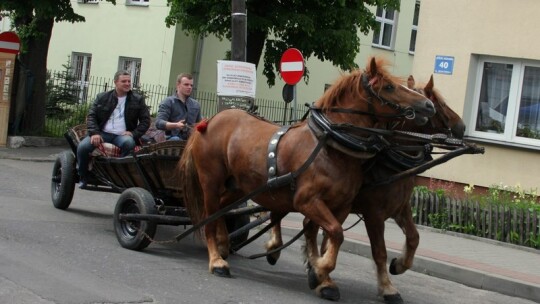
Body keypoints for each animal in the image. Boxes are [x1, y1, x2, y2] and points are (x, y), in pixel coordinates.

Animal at [179, 57, 436, 302]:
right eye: (389, 87)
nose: (428, 105)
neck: (330, 146)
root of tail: (210, 120)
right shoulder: (307, 201)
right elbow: (336, 234)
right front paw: (319, 270)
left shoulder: (341, 206)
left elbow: (330, 236)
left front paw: (323, 277)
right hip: (211, 181)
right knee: (209, 217)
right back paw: (217, 260)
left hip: (239, 186)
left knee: (222, 210)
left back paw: (225, 245)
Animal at [266, 74, 464, 304]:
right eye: (440, 103)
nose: (462, 126)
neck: (389, 163)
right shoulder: (374, 214)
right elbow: (379, 252)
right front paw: (388, 288)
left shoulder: (400, 207)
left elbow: (414, 238)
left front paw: (399, 265)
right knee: (278, 213)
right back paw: (277, 249)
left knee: (306, 225)